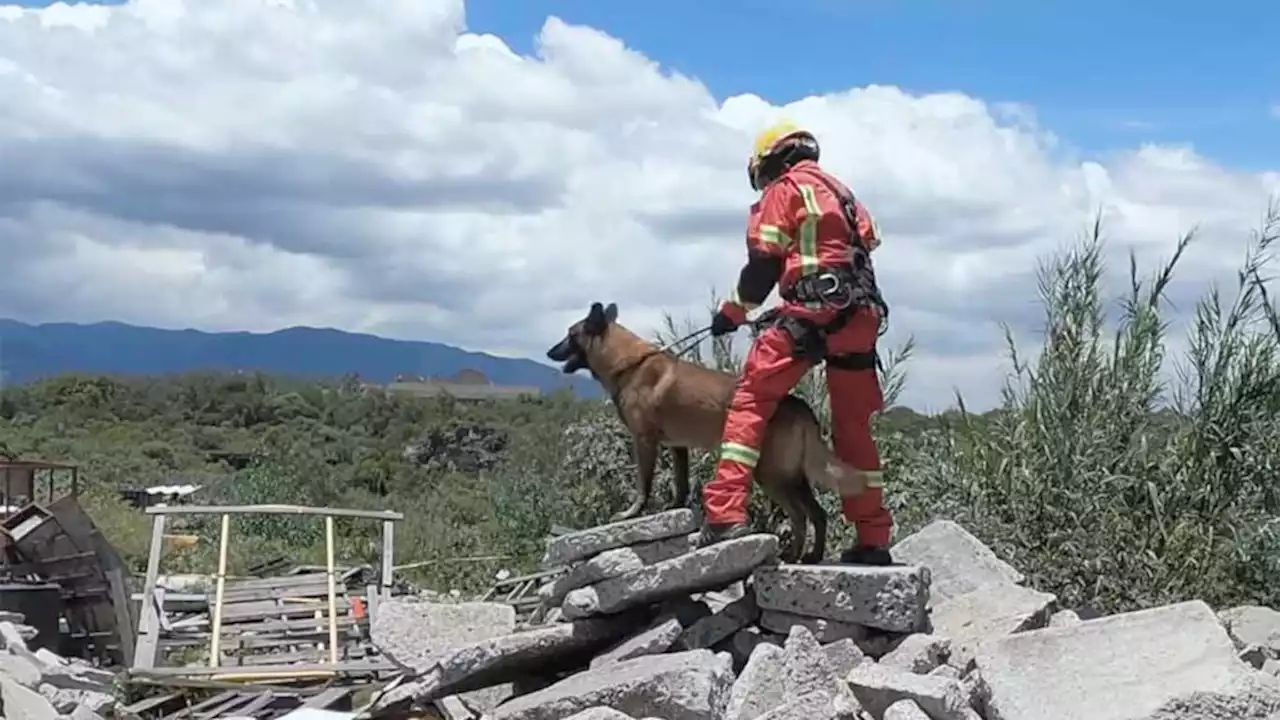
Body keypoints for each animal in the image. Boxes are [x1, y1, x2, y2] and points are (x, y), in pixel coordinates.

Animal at [545, 299, 875, 563]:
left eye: (570, 335)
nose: (549, 351)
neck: (629, 364)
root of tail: (800, 405)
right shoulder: (677, 447)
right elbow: (680, 484)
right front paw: (675, 508)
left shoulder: (644, 442)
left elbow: (643, 485)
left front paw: (633, 513)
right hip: (792, 476)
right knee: (817, 514)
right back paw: (811, 556)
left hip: (771, 475)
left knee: (799, 516)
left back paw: (793, 556)